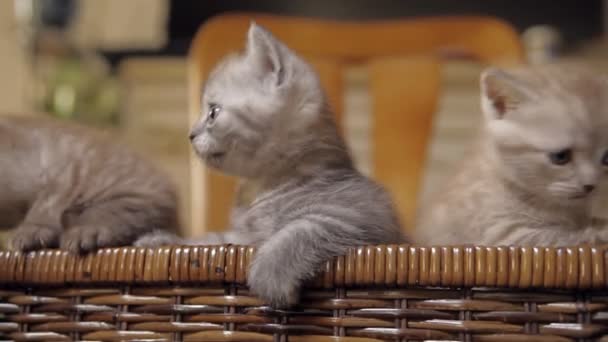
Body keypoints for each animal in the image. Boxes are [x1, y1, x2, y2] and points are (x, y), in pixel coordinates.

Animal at [135, 24, 406, 308]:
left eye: (213, 112)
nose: (190, 134)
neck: (261, 188)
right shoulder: (243, 237)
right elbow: (213, 240)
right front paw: (165, 241)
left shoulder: (362, 214)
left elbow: (302, 229)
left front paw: (271, 274)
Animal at [416, 63, 608, 246]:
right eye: (561, 156)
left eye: (606, 158)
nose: (591, 185)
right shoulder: (500, 234)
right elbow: (562, 236)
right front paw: (598, 232)